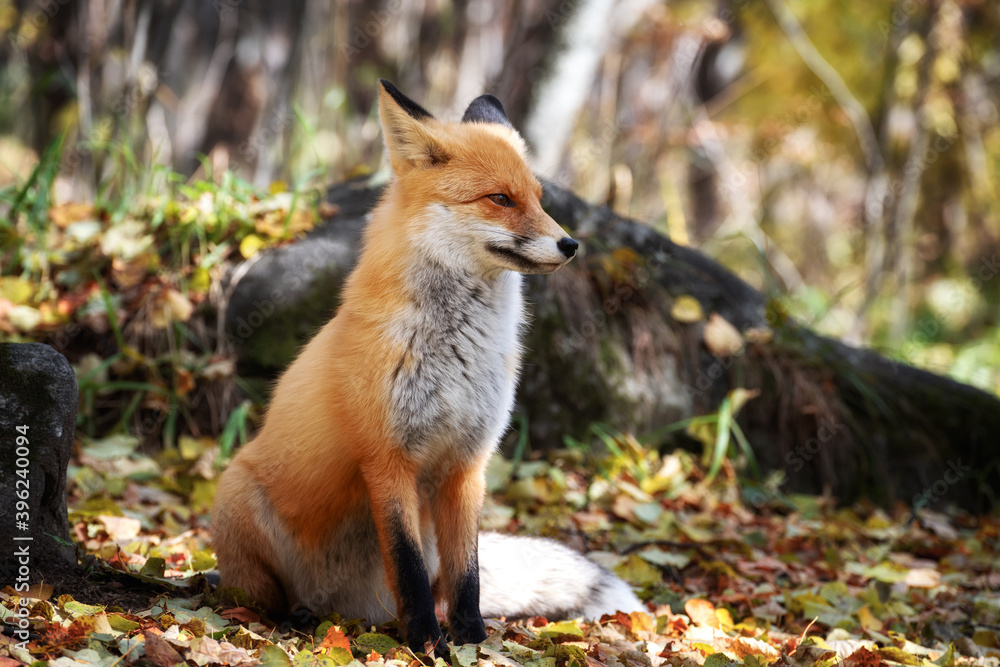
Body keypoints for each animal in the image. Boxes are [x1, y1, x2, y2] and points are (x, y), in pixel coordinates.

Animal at [211, 80, 644, 654]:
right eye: (500, 199)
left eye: (538, 199)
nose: (570, 244)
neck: (458, 352)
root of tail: (339, 606)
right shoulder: (388, 460)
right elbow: (409, 567)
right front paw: (423, 643)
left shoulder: (468, 464)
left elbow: (469, 575)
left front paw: (470, 640)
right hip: (237, 497)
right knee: (259, 597)